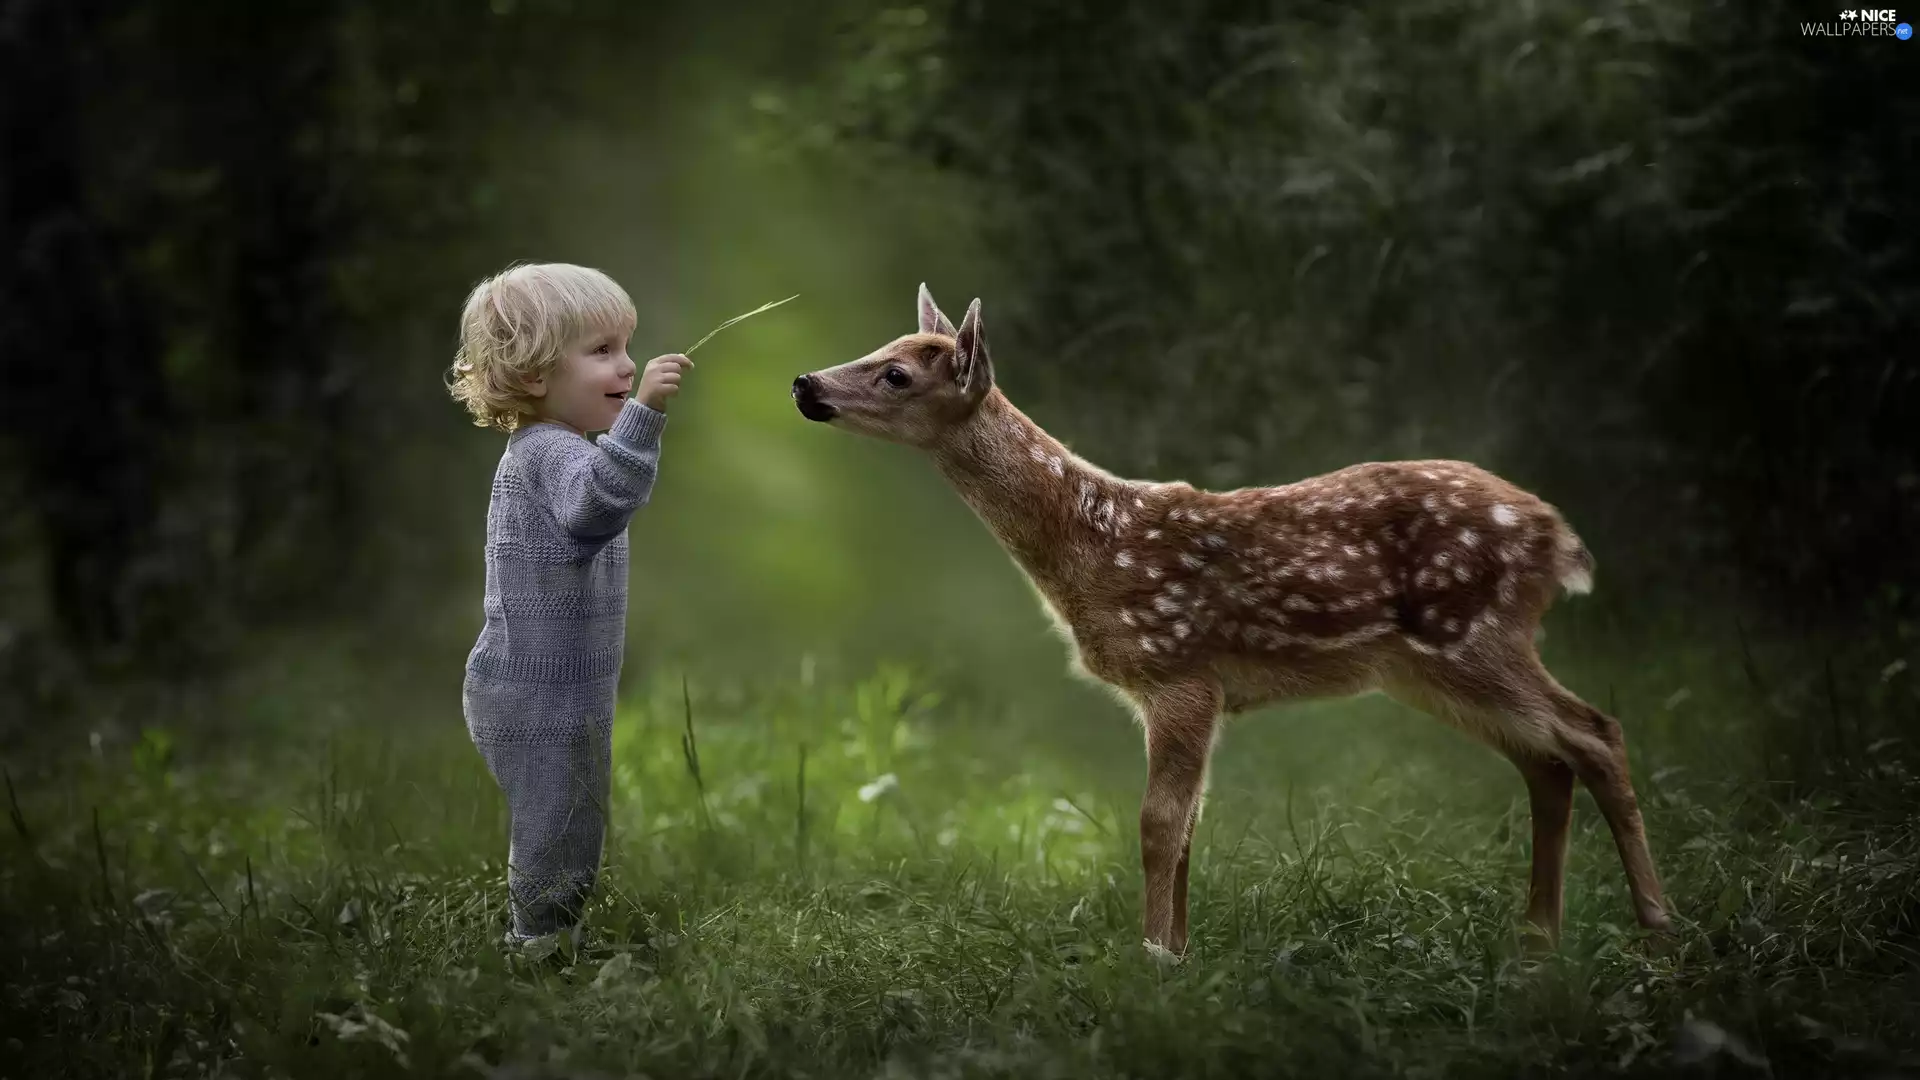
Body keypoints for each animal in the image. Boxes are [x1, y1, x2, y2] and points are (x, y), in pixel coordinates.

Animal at [790, 284, 1672, 960]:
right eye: (879, 347)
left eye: (897, 373)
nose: (804, 383)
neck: (1092, 545)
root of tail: (1557, 538)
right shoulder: (1188, 692)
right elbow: (1186, 828)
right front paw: (1181, 953)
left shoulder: (1179, 670)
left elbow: (1158, 823)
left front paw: (1151, 958)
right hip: (1427, 668)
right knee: (1547, 760)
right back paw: (1539, 938)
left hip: (1474, 633)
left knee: (1595, 732)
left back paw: (1656, 925)